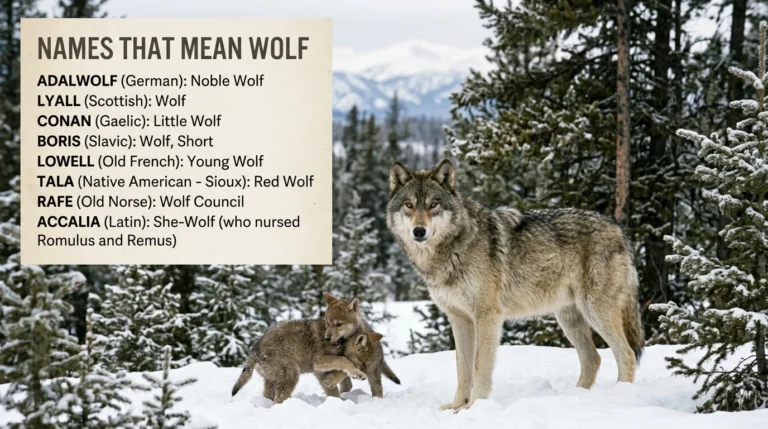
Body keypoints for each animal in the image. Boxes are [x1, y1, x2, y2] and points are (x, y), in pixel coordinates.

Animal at [387, 159, 644, 411]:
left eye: (433, 205)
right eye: (409, 205)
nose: (419, 231)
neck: (453, 248)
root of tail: (619, 229)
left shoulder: (487, 316)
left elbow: (479, 366)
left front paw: (475, 407)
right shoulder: (459, 319)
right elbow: (462, 369)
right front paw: (457, 406)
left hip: (595, 312)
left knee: (627, 354)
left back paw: (619, 395)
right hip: (568, 318)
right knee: (593, 359)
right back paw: (574, 397)